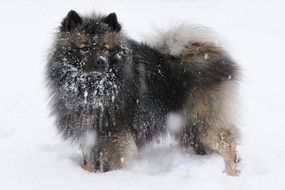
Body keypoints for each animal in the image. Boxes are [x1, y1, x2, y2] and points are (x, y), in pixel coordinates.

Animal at [46, 10, 240, 176]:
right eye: (84, 48)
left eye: (105, 48)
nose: (101, 62)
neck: (92, 90)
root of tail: (202, 51)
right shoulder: (87, 132)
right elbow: (89, 161)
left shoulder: (114, 135)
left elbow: (110, 162)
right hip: (187, 127)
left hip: (203, 120)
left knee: (228, 142)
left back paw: (232, 172)